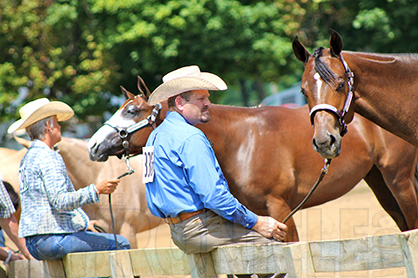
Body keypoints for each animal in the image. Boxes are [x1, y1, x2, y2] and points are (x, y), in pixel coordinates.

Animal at [88, 78, 418, 241]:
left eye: (132, 111)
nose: (93, 145)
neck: (240, 141)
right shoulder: (256, 213)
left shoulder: (280, 208)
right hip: (378, 181)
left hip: (398, 179)